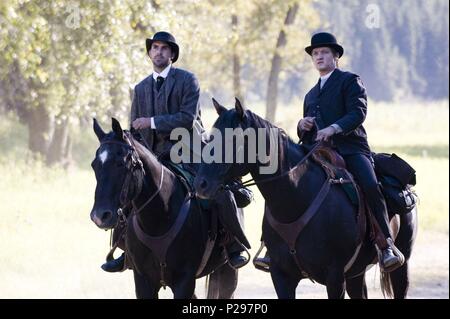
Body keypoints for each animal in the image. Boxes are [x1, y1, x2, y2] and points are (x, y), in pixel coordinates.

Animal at [90, 118, 239, 300]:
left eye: (120, 163)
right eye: (94, 165)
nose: (99, 216)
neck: (159, 219)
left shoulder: (185, 280)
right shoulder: (143, 280)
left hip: (227, 270)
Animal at [194, 99, 418, 298]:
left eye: (233, 139)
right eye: (209, 138)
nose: (200, 184)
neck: (296, 200)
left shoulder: (335, 278)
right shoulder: (282, 277)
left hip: (401, 266)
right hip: (356, 274)